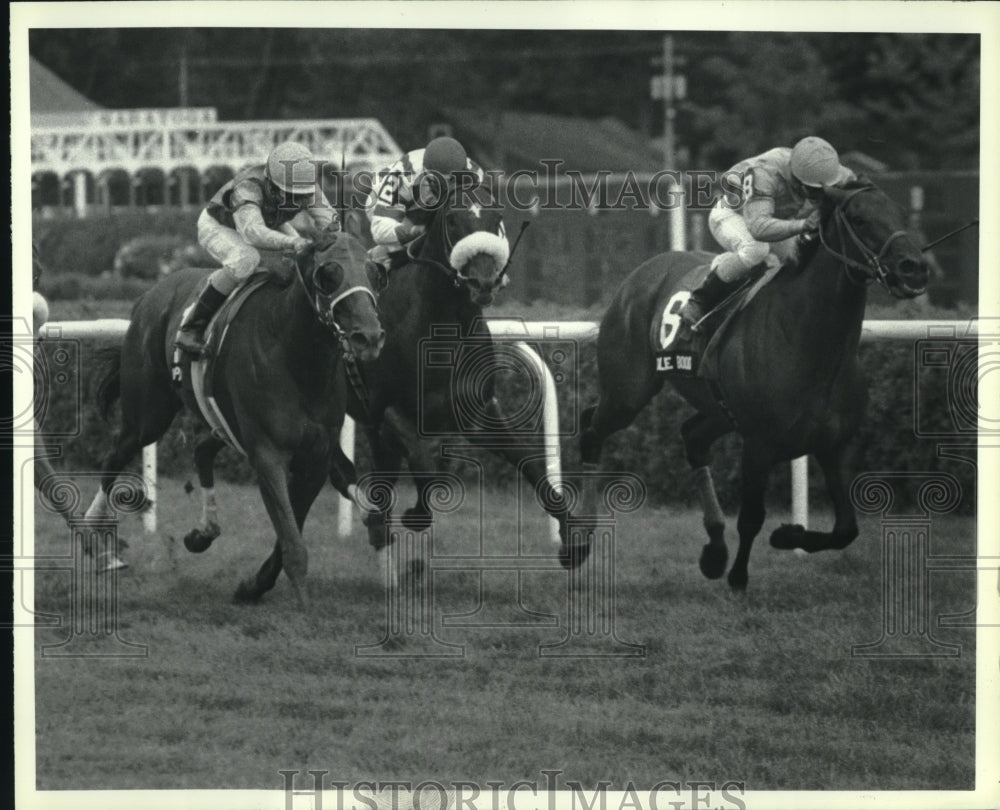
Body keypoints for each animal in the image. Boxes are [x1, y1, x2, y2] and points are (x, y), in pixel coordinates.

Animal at [91, 230, 386, 604]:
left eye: (376, 273)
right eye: (328, 274)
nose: (369, 336)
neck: (297, 358)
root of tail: (148, 294)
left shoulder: (315, 456)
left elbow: (292, 528)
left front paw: (254, 585)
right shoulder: (268, 454)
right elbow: (292, 539)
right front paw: (301, 604)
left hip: (221, 424)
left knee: (202, 450)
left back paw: (203, 531)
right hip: (147, 415)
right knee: (114, 457)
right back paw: (98, 543)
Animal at [580, 180, 928, 588]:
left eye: (901, 213)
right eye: (859, 218)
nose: (915, 267)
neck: (810, 342)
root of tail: (641, 272)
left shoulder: (837, 444)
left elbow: (846, 529)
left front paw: (787, 535)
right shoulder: (759, 444)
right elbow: (751, 518)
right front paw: (739, 577)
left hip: (717, 409)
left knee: (692, 436)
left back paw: (714, 550)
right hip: (627, 393)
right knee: (591, 429)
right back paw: (577, 540)